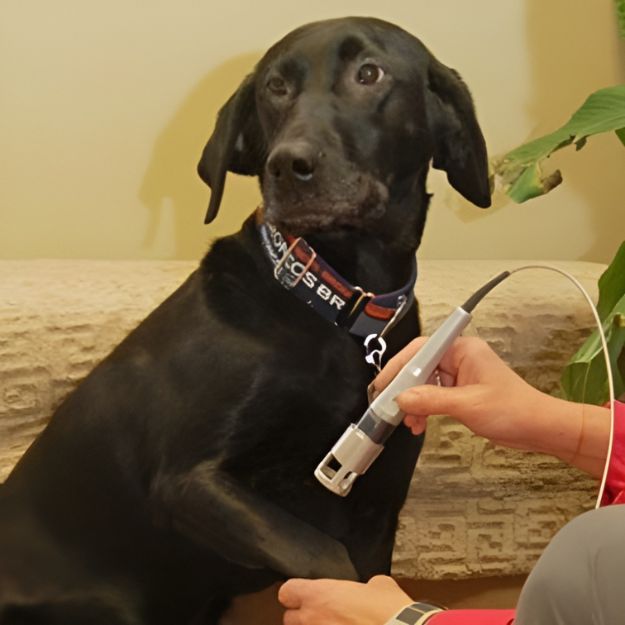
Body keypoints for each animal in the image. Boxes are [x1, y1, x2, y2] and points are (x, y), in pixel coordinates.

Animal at [0, 15, 488, 624]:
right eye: (274, 88)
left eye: (369, 73)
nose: (287, 166)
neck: (335, 308)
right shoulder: (191, 480)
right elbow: (324, 556)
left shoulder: (377, 511)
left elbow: (368, 575)